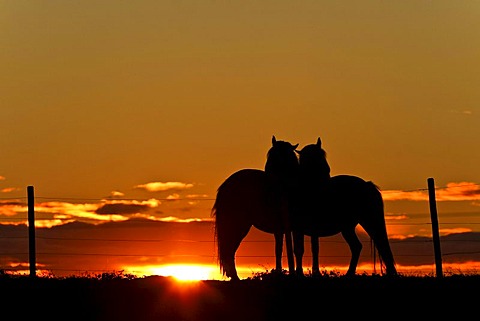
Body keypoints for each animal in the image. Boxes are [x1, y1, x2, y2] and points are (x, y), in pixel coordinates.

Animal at [211, 136, 298, 280]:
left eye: (282, 158)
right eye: (269, 155)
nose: (269, 185)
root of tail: (226, 185)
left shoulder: (287, 228)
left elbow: (287, 249)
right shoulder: (279, 227)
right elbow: (279, 250)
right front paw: (280, 273)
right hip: (238, 225)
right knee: (230, 249)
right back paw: (235, 277)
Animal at [290, 138, 400, 276]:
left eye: (323, 155)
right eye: (312, 159)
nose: (327, 173)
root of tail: (367, 184)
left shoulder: (301, 228)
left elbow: (302, 250)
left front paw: (301, 273)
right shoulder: (306, 229)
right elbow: (311, 249)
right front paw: (313, 272)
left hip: (363, 222)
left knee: (376, 245)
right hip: (351, 226)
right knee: (363, 246)